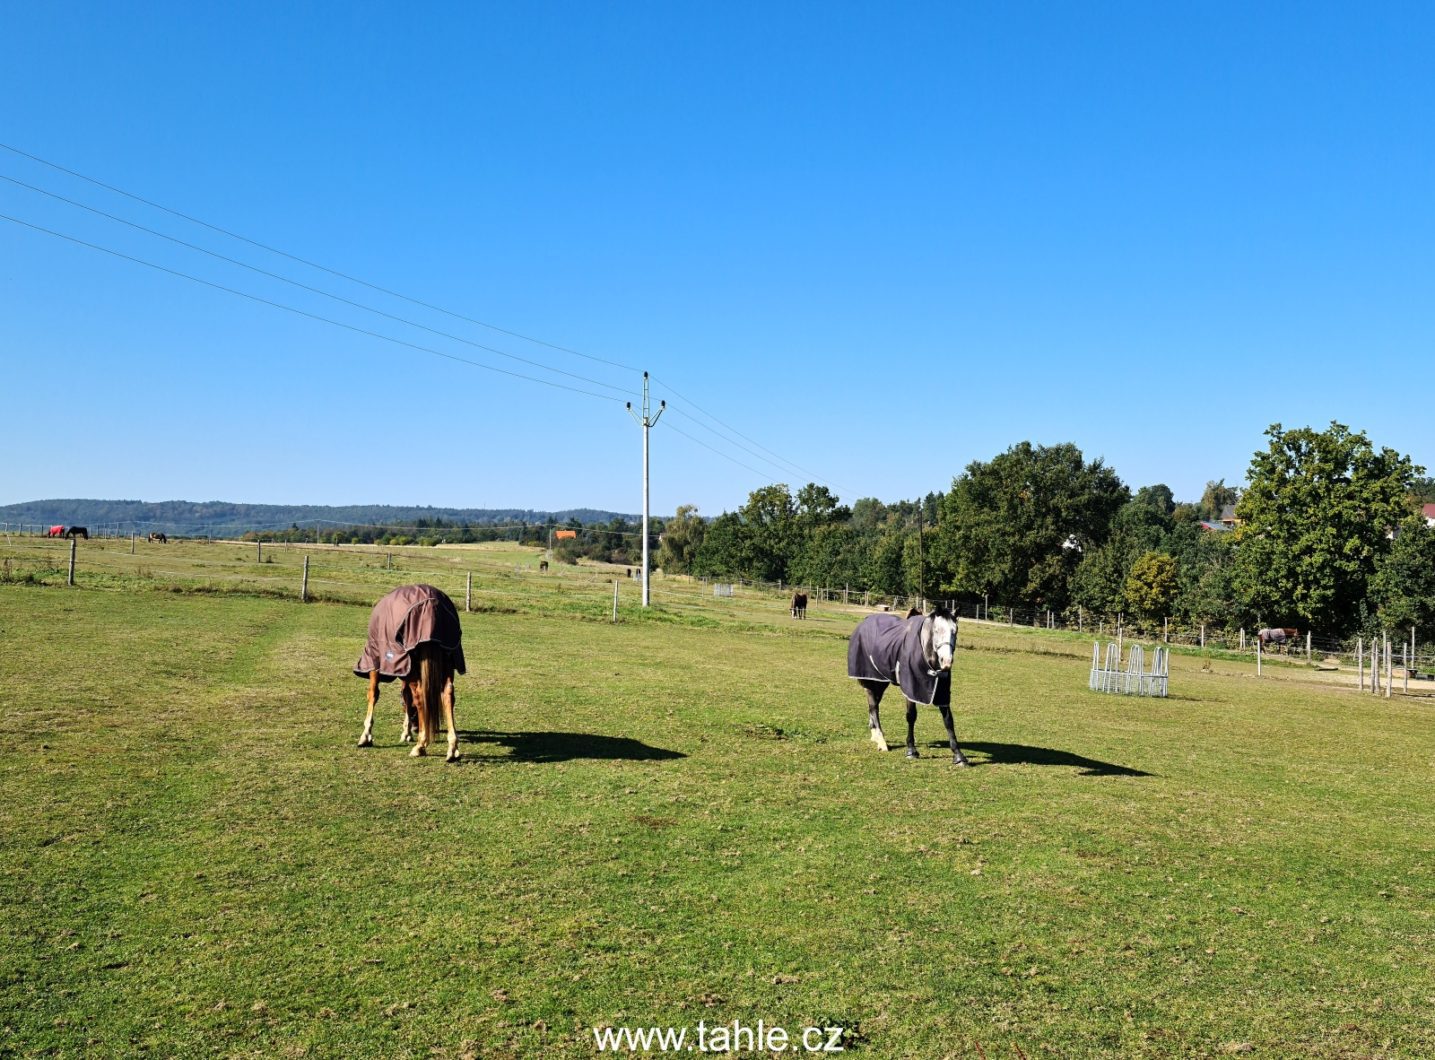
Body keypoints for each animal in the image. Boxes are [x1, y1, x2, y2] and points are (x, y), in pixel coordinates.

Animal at [843, 608, 970, 768]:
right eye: (936, 630)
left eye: (955, 630)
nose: (946, 662)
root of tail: (864, 622)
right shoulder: (911, 689)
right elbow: (911, 716)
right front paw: (911, 750)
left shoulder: (942, 692)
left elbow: (948, 720)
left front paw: (959, 756)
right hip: (871, 679)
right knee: (873, 706)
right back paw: (881, 741)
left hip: (881, 681)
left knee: (874, 705)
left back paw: (874, 734)